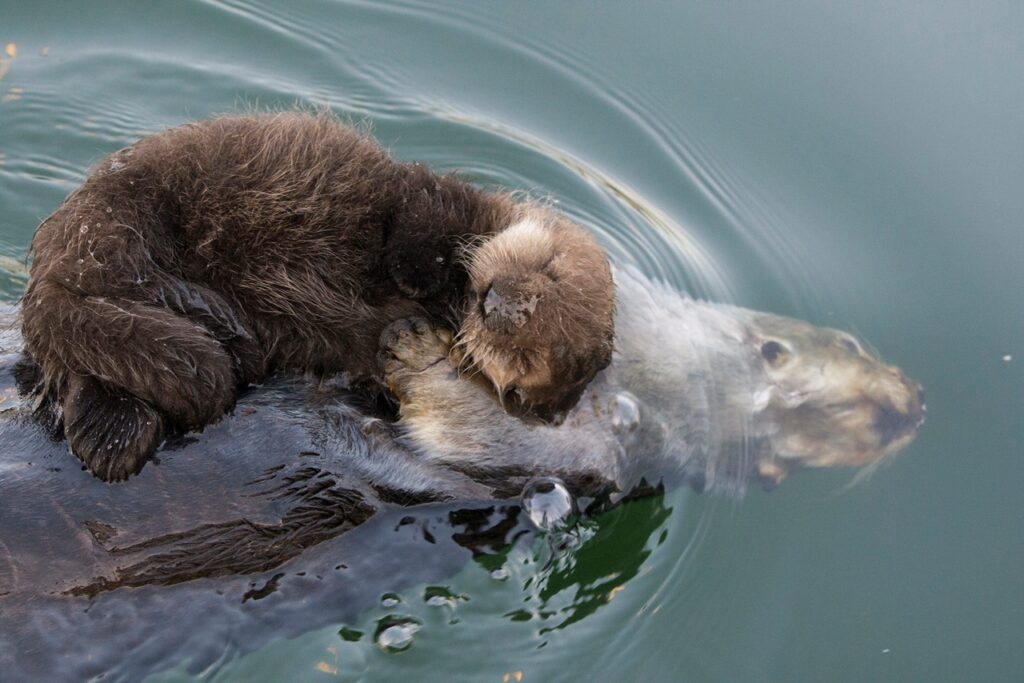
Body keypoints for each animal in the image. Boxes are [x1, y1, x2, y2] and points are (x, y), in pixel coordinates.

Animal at [22, 112, 614, 481]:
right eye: (549, 269)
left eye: (524, 357)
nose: (496, 304)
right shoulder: (437, 201)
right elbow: (417, 221)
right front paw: (420, 273)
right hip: (123, 219)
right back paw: (205, 316)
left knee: (89, 366)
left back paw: (114, 435)